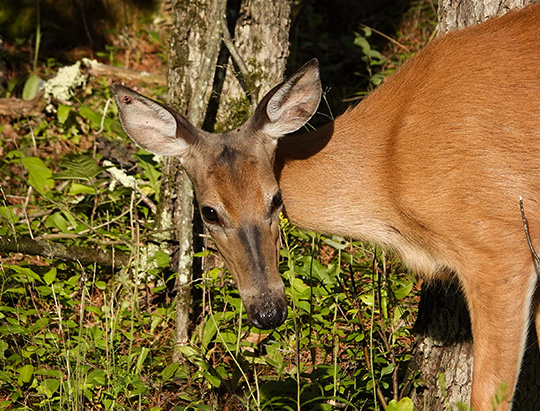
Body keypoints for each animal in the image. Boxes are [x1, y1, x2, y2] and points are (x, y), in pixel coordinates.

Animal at [113, 4, 540, 411]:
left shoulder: (497, 242)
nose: (268, 311)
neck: (390, 160)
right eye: (209, 212)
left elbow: (489, 396)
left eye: (276, 199)